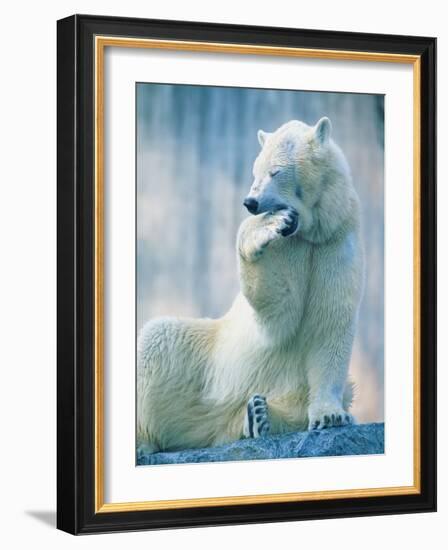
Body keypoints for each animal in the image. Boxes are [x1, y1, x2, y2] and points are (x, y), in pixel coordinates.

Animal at [136, 117, 364, 458]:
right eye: (255, 171)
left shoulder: (335, 244)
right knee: (157, 338)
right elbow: (278, 306)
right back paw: (145, 439)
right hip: (205, 358)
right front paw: (265, 227)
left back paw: (257, 416)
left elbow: (330, 324)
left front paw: (330, 416)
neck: (312, 231)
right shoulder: (291, 246)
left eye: (276, 171)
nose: (250, 202)